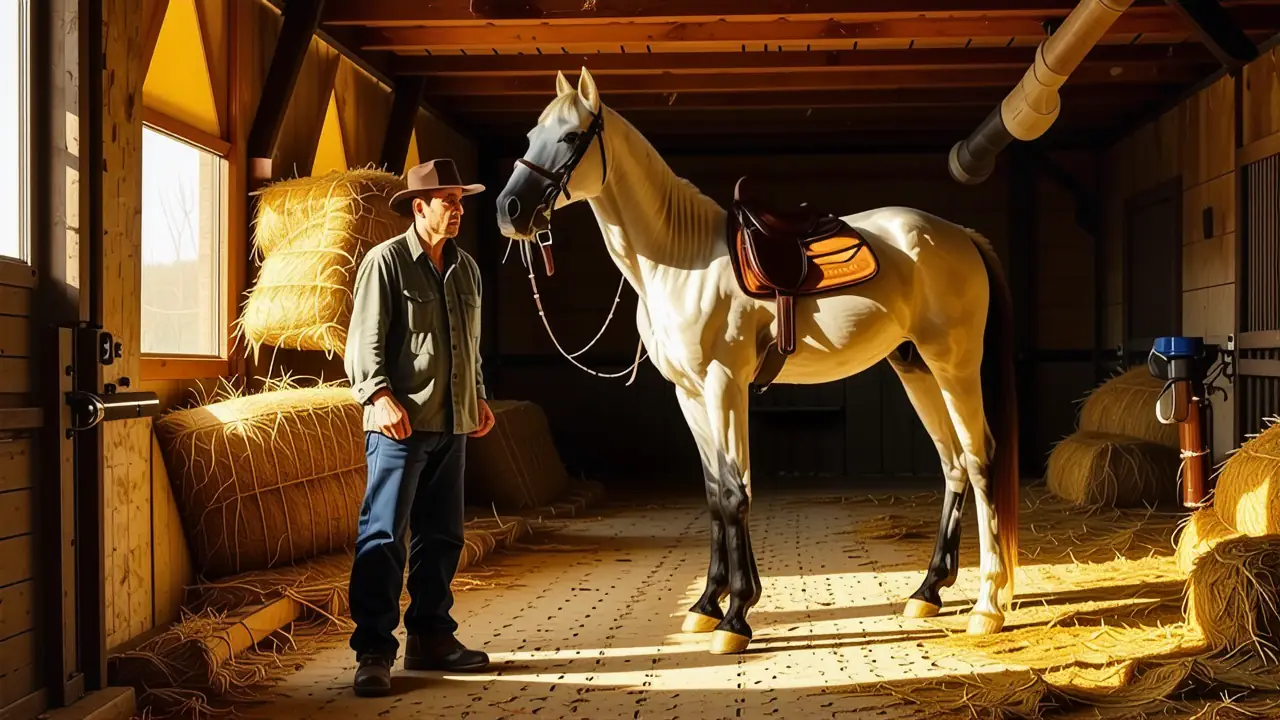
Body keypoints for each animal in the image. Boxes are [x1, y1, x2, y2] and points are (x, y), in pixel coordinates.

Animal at [493, 67, 1020, 655]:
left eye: (569, 137)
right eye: (529, 137)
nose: (508, 211)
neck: (681, 260)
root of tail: (960, 236)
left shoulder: (724, 386)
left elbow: (735, 492)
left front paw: (736, 616)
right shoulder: (689, 393)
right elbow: (713, 494)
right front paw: (706, 605)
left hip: (955, 366)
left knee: (980, 460)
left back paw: (987, 607)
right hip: (916, 369)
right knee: (953, 465)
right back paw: (927, 592)